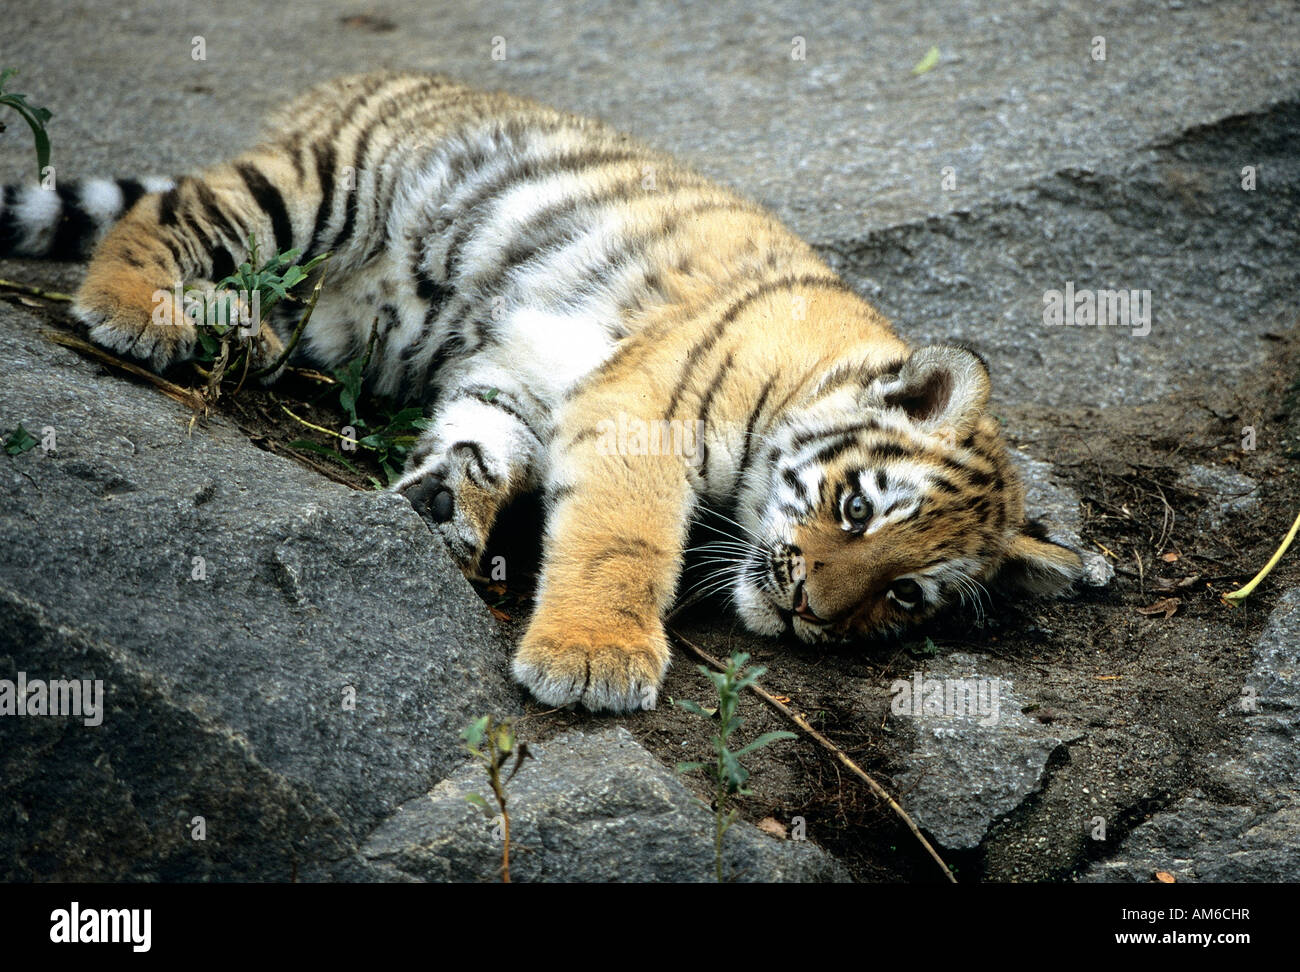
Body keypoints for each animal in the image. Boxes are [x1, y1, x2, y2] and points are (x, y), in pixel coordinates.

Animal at [0, 72, 1086, 712]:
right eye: (857, 510)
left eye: (904, 595)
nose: (812, 614)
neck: (802, 384)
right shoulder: (641, 419)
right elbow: (620, 543)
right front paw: (595, 659)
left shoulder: (516, 378)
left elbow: (483, 443)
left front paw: (445, 503)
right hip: (326, 187)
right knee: (171, 213)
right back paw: (142, 313)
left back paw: (244, 332)